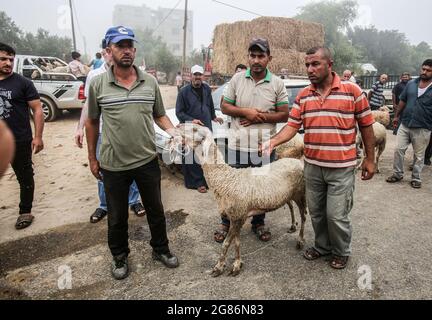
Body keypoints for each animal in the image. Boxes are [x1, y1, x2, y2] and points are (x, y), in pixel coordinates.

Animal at [172, 124, 308, 278]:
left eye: (195, 129)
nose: (177, 126)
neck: (226, 178)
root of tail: (297, 160)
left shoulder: (238, 216)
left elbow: (226, 243)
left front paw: (219, 267)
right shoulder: (236, 216)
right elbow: (237, 242)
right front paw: (237, 264)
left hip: (300, 192)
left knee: (304, 215)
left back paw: (300, 240)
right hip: (287, 195)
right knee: (291, 207)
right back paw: (292, 226)